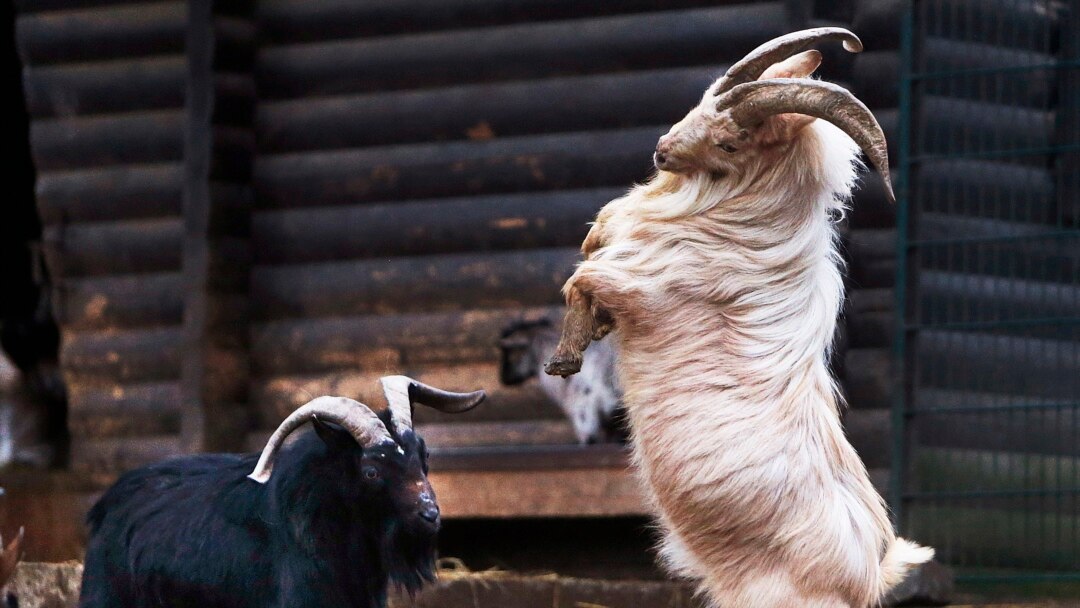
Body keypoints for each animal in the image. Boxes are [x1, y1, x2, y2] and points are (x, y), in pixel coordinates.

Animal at [544, 27, 933, 608]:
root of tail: (865, 578)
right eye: (703, 101)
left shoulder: (644, 289)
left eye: (731, 143)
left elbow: (583, 279)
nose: (661, 150)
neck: (739, 228)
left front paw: (564, 360)